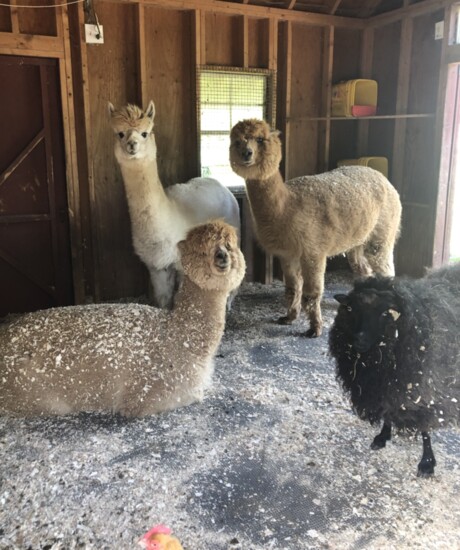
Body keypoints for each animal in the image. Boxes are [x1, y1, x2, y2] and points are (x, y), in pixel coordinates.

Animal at [328, 264, 460, 478]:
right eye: (352, 309)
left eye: (384, 313)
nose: (359, 340)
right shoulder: (386, 388)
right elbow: (388, 413)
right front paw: (382, 437)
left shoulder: (423, 391)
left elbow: (424, 428)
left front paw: (427, 463)